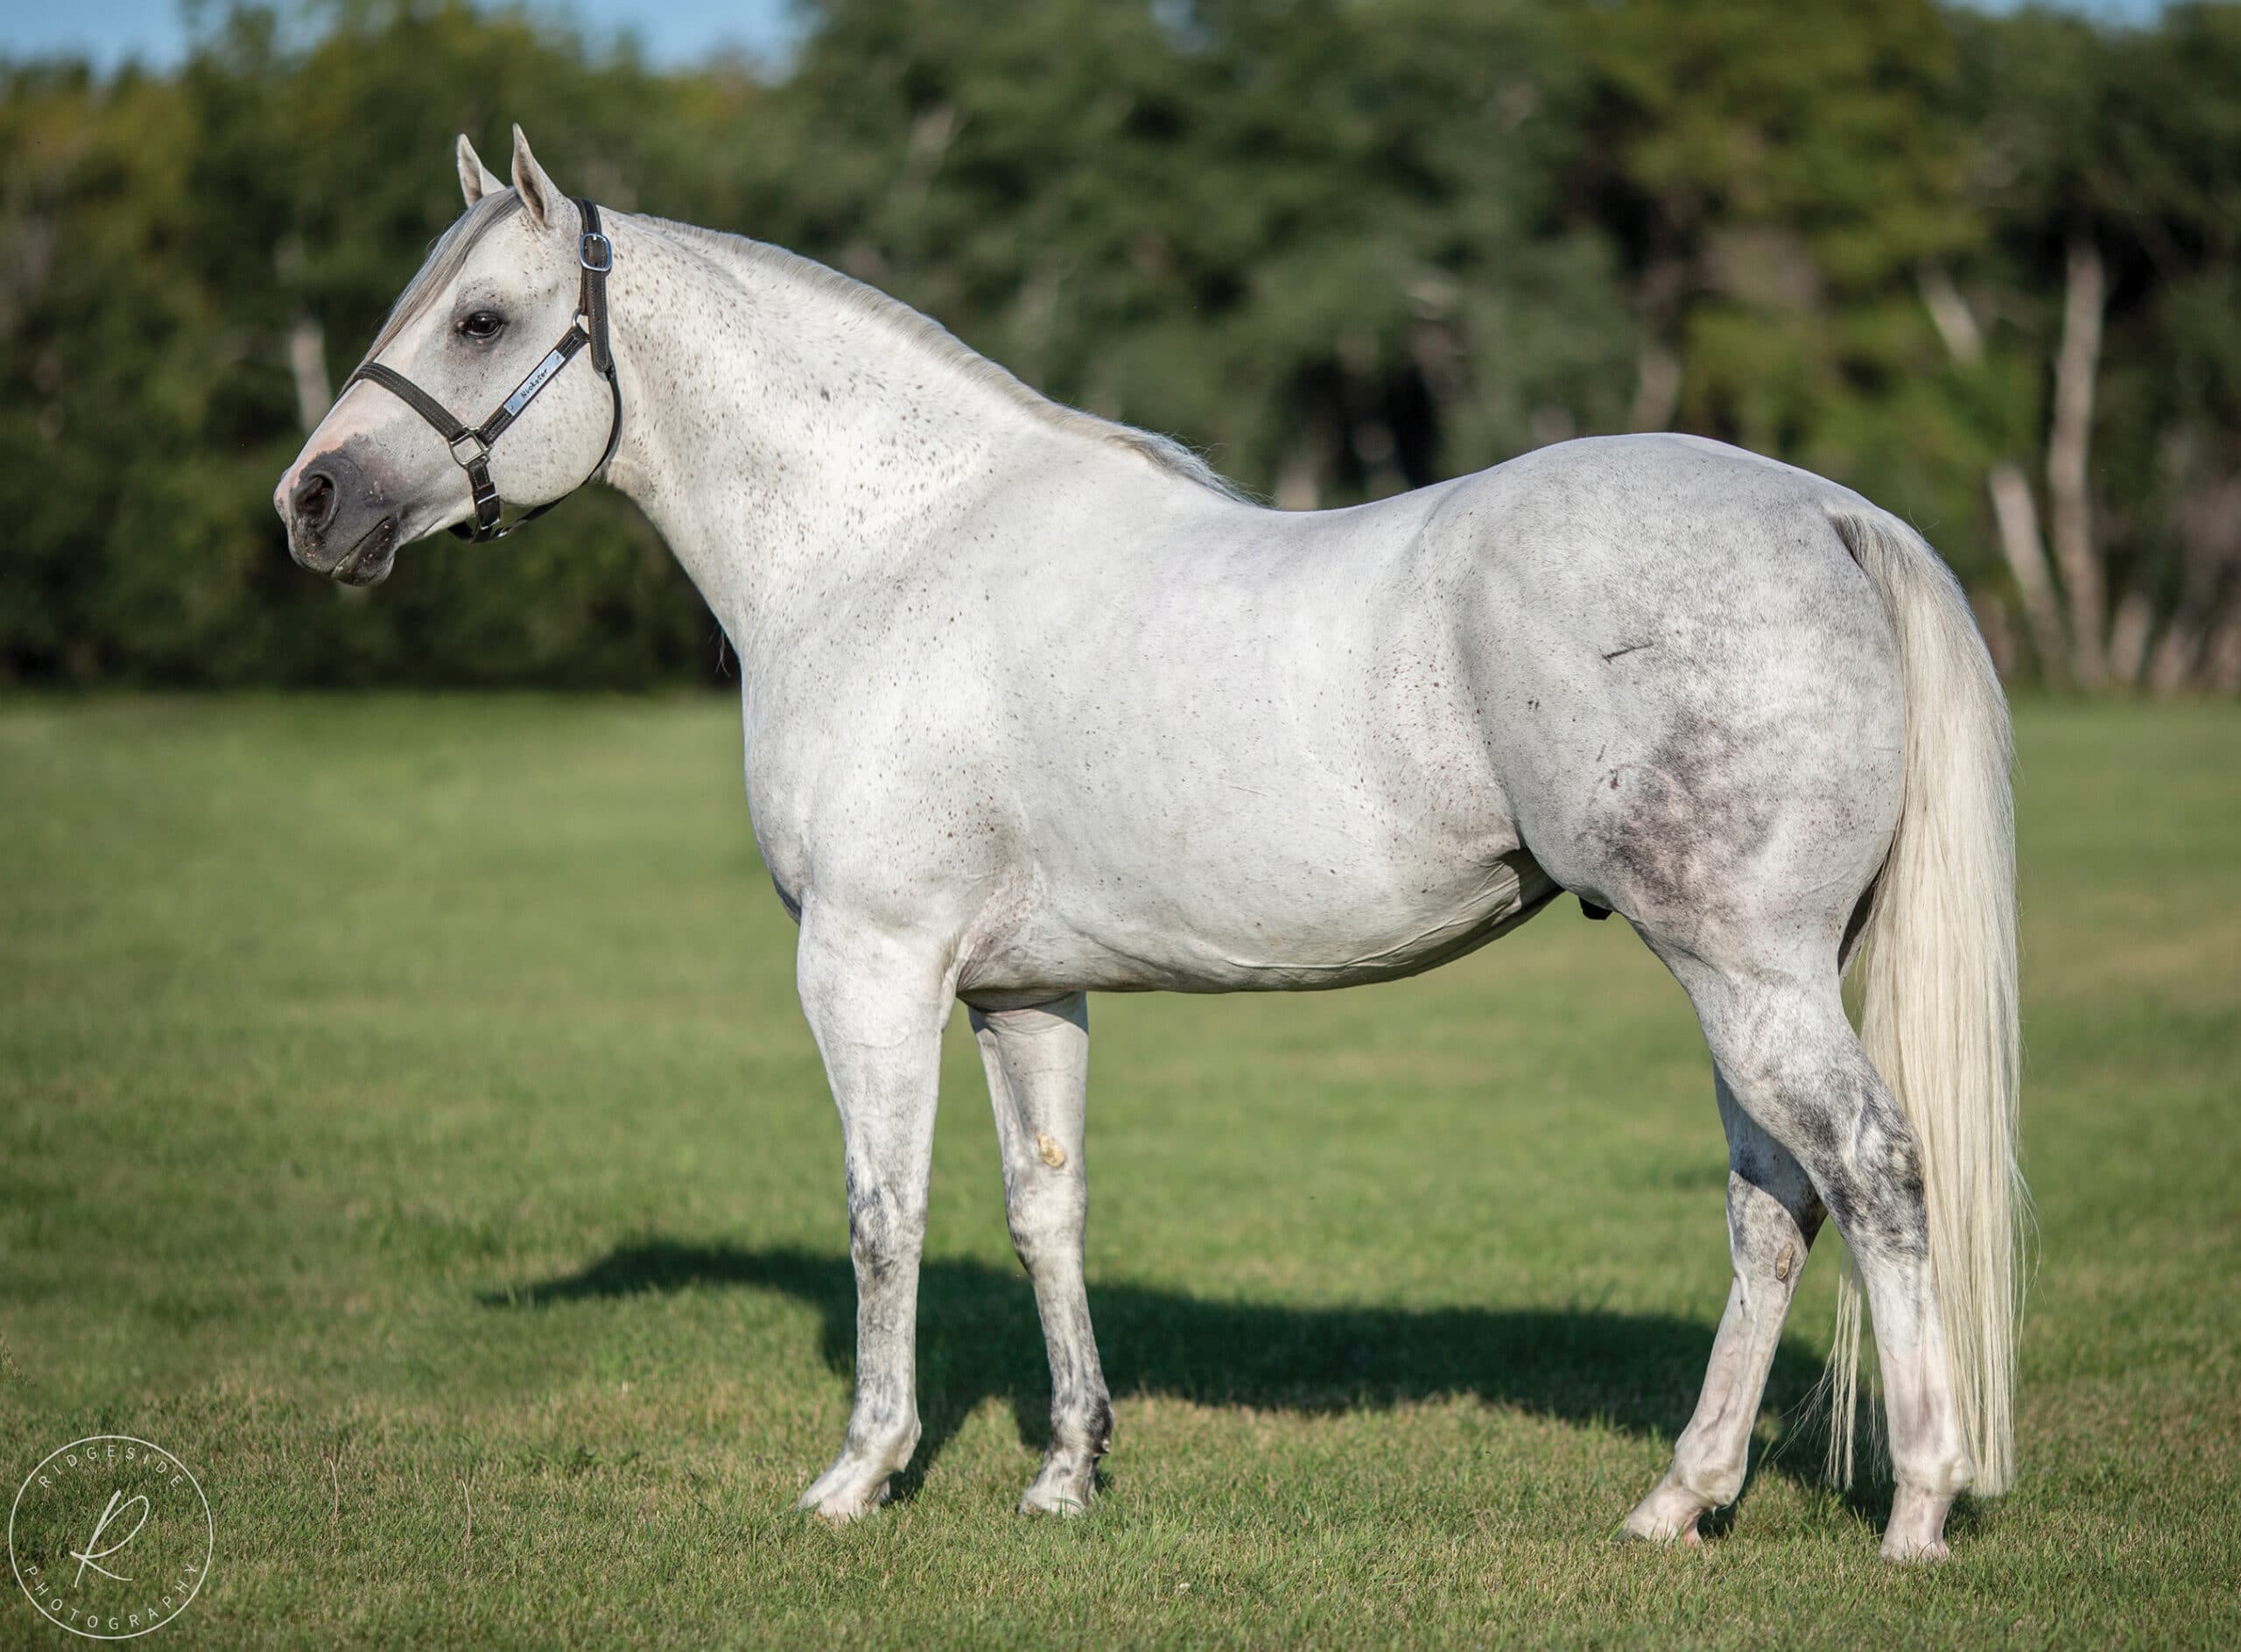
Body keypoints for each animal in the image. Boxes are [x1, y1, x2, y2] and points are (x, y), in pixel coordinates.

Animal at [275, 127, 2022, 1560]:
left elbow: (884, 1209)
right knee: (1771, 1200)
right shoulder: (1019, 991)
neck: (889, 549)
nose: (310, 502)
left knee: (1869, 1169)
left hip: (1746, 968)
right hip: (1748, 977)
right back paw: (1679, 1498)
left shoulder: (869, 964)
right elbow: (1044, 1208)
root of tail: (1826, 513)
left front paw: (859, 1473)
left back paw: (1919, 1506)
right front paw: (1066, 1473)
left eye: (481, 320)